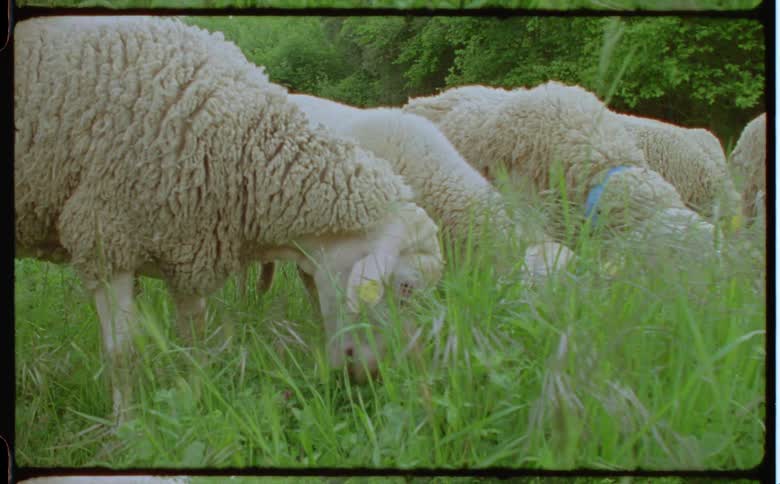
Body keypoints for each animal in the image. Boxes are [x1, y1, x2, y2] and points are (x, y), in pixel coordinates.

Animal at [14, 16, 444, 420]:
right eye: (406, 288)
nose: (373, 378)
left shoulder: (188, 251)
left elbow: (195, 341)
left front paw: (196, 400)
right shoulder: (104, 238)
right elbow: (124, 353)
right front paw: (128, 426)